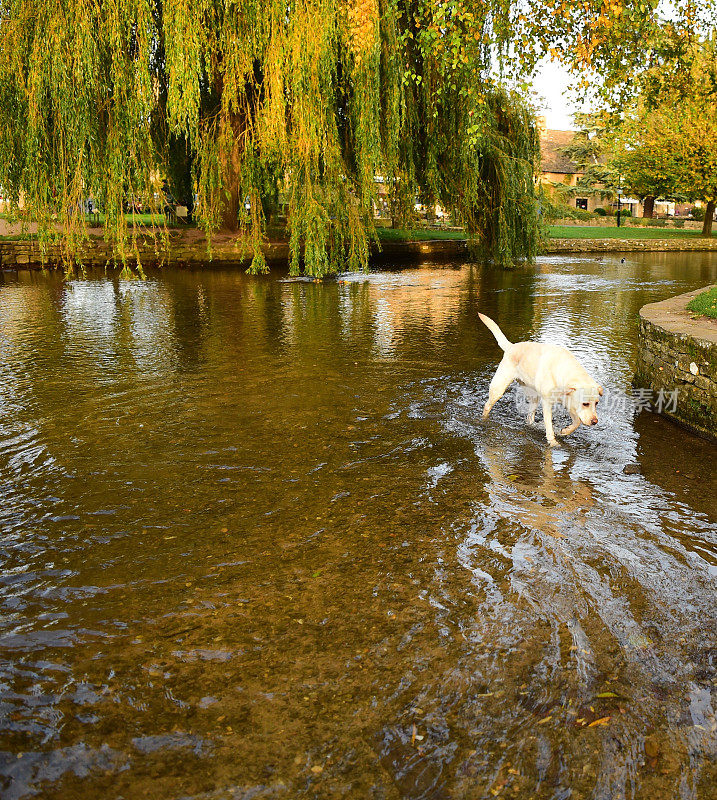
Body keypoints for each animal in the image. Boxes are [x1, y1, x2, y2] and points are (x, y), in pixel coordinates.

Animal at [478, 310, 600, 446]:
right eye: (585, 403)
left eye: (596, 403)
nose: (595, 421)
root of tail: (511, 346)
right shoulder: (547, 403)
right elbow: (549, 426)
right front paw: (553, 443)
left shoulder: (570, 403)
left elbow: (577, 422)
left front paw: (565, 431)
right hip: (498, 389)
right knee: (487, 405)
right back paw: (484, 419)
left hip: (533, 396)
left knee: (530, 416)